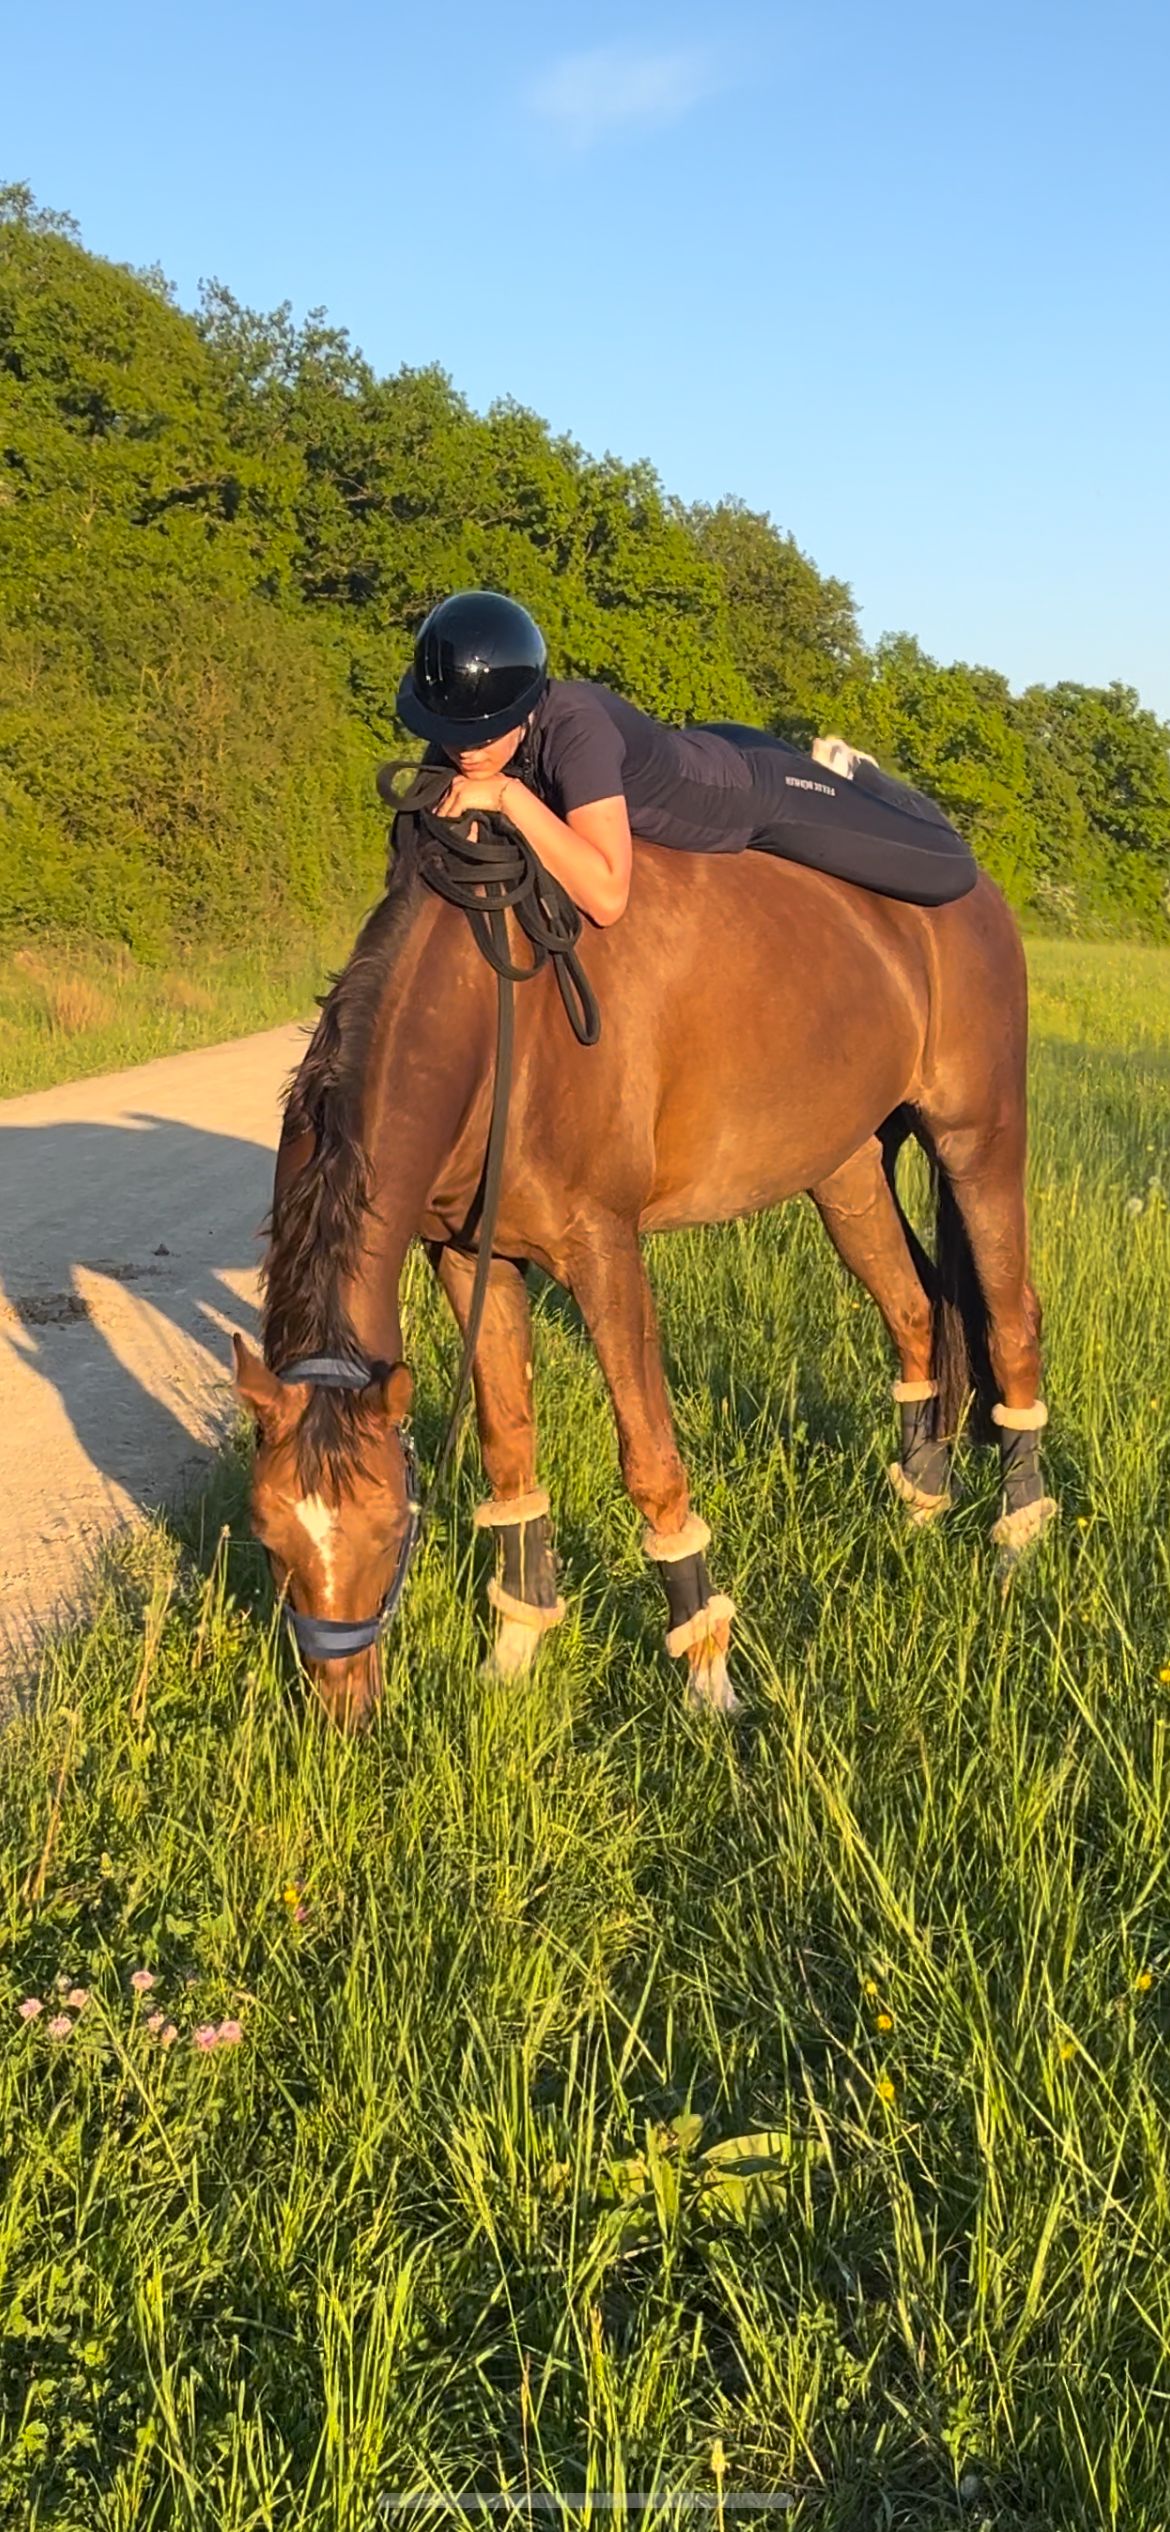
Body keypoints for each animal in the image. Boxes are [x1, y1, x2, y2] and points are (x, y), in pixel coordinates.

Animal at [233, 820, 1054, 1730]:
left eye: (388, 1528)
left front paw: (707, 1673)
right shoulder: (471, 1261)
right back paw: (921, 1507)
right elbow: (509, 1450)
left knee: (1012, 1320)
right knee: (917, 1316)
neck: (494, 1026)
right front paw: (514, 1650)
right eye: (268, 1537)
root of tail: (978, 897)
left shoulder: (604, 1251)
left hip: (978, 1143)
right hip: (847, 1172)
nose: (342, 1713)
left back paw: (1018, 1537)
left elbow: (651, 1465)